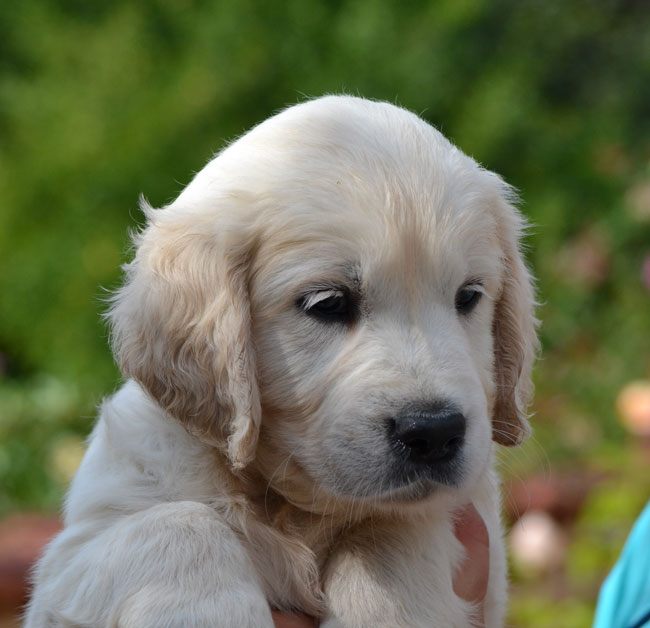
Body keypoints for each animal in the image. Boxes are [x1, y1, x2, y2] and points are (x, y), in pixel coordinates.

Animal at [24, 95, 536, 624]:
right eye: (328, 303)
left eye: (469, 296)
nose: (434, 431)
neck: (292, 508)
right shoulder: (77, 552)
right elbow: (180, 523)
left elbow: (396, 524)